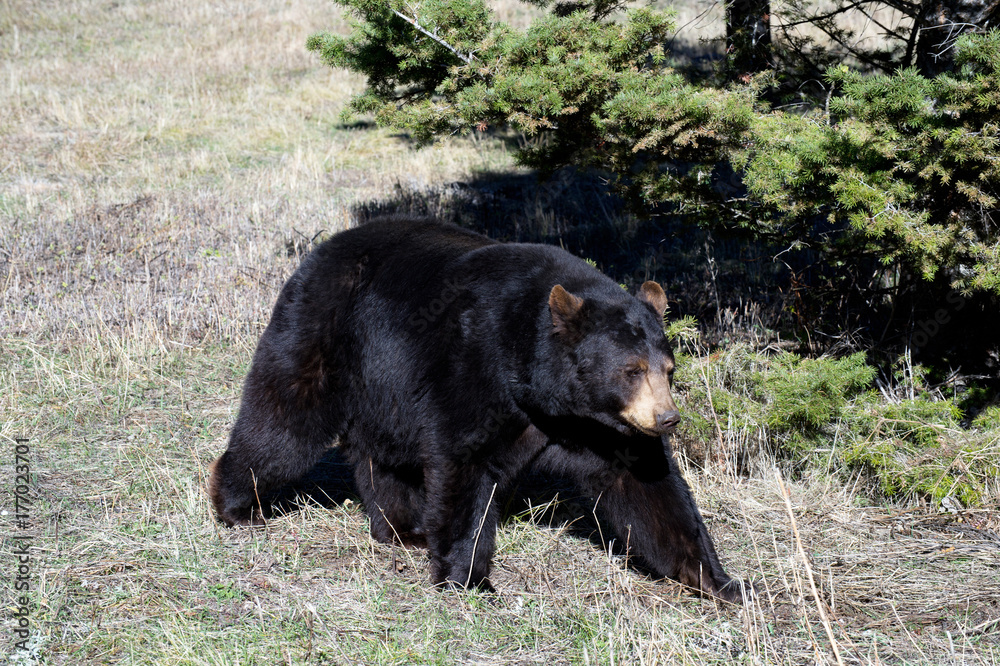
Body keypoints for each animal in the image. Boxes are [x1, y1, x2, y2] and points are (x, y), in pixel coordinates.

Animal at [207, 215, 748, 600]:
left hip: (384, 385)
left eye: (668, 369)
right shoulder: (475, 368)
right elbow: (464, 466)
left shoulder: (605, 430)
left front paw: (722, 583)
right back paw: (238, 505)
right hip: (325, 333)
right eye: (632, 370)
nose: (667, 419)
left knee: (384, 454)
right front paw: (470, 578)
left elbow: (650, 488)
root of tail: (320, 249)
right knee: (284, 418)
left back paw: (404, 529)